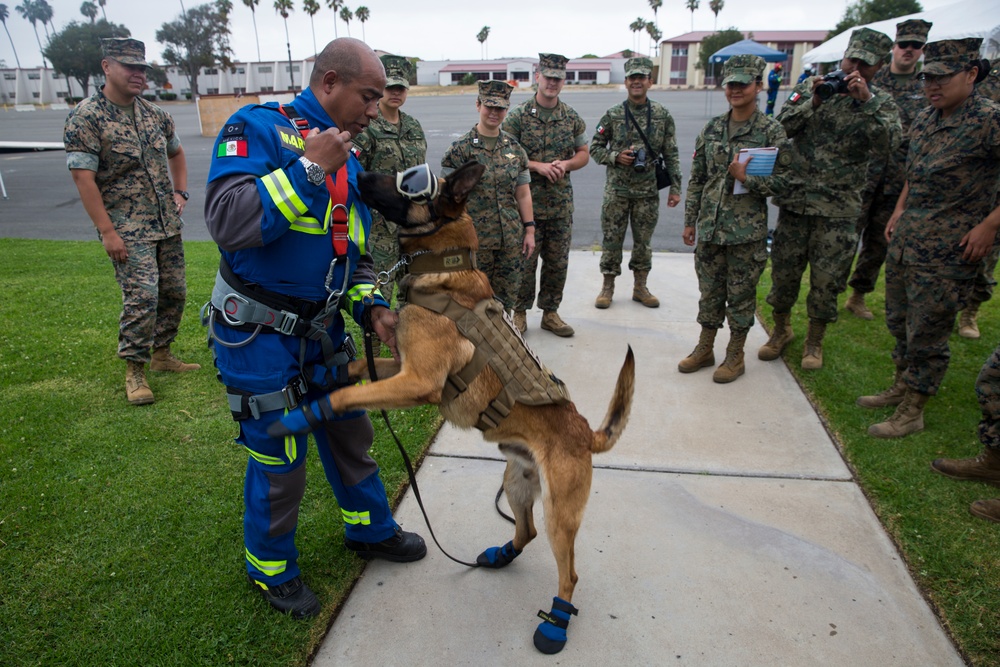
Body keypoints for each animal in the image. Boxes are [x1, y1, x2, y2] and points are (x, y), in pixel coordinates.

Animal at [276, 160, 632, 652]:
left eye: (409, 182)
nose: (358, 170)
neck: (442, 267)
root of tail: (586, 434)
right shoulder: (400, 367)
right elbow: (356, 370)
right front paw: (322, 375)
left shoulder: (418, 383)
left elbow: (347, 395)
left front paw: (300, 416)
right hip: (516, 483)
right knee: (525, 530)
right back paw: (500, 555)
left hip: (560, 516)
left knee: (569, 574)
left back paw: (556, 623)